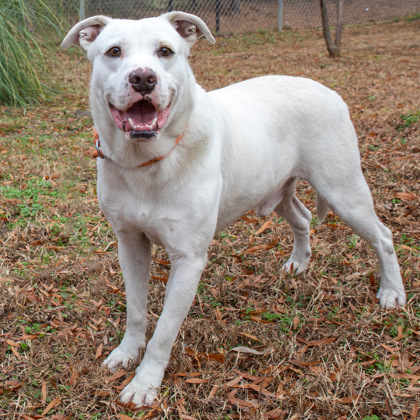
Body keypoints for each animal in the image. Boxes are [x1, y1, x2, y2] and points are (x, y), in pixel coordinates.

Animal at [62, 12, 406, 406]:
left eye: (165, 51)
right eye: (113, 52)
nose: (143, 78)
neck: (147, 162)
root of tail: (329, 91)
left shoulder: (189, 260)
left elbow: (164, 330)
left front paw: (145, 382)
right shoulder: (130, 244)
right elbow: (136, 311)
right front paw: (126, 352)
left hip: (344, 192)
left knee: (383, 236)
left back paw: (392, 292)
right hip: (276, 190)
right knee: (302, 217)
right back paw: (299, 263)